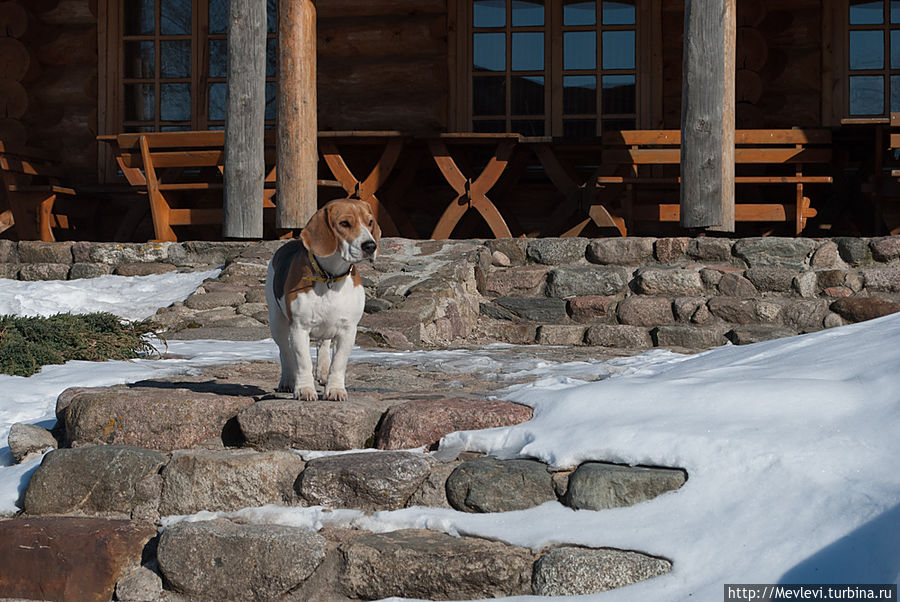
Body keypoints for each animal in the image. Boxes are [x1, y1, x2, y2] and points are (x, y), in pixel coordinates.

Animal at [266, 199, 382, 400]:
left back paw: (323, 371)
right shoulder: (300, 328)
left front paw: (335, 389)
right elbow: (303, 362)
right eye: (344, 223)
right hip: (277, 324)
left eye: (370, 222)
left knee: (324, 345)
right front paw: (304, 389)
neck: (330, 276)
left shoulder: (348, 330)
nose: (370, 246)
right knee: (285, 352)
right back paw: (288, 380)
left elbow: (339, 363)